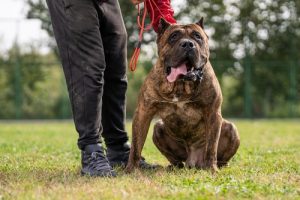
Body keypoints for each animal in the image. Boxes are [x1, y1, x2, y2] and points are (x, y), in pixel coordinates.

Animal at [125, 18, 240, 173]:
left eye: (197, 37)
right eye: (173, 37)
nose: (187, 44)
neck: (180, 85)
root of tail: (193, 161)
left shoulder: (213, 113)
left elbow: (211, 147)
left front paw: (211, 169)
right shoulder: (143, 112)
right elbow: (136, 145)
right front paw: (131, 169)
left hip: (231, 128)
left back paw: (218, 165)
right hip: (158, 128)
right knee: (176, 160)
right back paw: (173, 167)